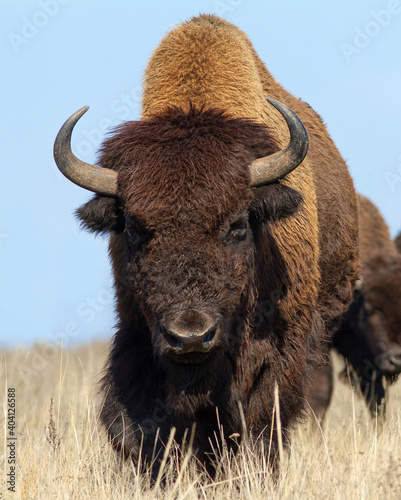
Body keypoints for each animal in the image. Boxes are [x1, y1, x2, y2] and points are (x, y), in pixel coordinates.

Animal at [53, 14, 356, 472]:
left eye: (238, 225)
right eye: (134, 230)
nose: (191, 336)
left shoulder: (278, 348)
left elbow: (260, 419)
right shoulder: (136, 333)